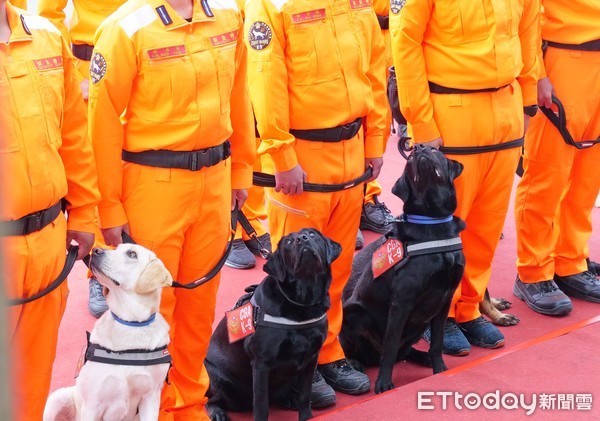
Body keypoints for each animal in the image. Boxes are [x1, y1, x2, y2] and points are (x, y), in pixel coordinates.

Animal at [205, 228, 338, 418]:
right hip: (221, 382)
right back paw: (217, 412)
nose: (302, 239)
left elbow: (305, 396)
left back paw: (290, 400)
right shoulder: (261, 364)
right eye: (288, 242)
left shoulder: (312, 358)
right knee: (211, 400)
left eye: (312, 234)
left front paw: (306, 416)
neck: (301, 304)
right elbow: (261, 406)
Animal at [340, 144, 466, 394]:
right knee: (361, 350)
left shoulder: (445, 298)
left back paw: (422, 357)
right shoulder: (402, 302)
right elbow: (389, 349)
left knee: (403, 352)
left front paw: (439, 369)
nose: (418, 147)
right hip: (354, 314)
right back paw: (355, 364)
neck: (433, 224)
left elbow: (437, 341)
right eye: (408, 161)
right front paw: (384, 384)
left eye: (435, 150)